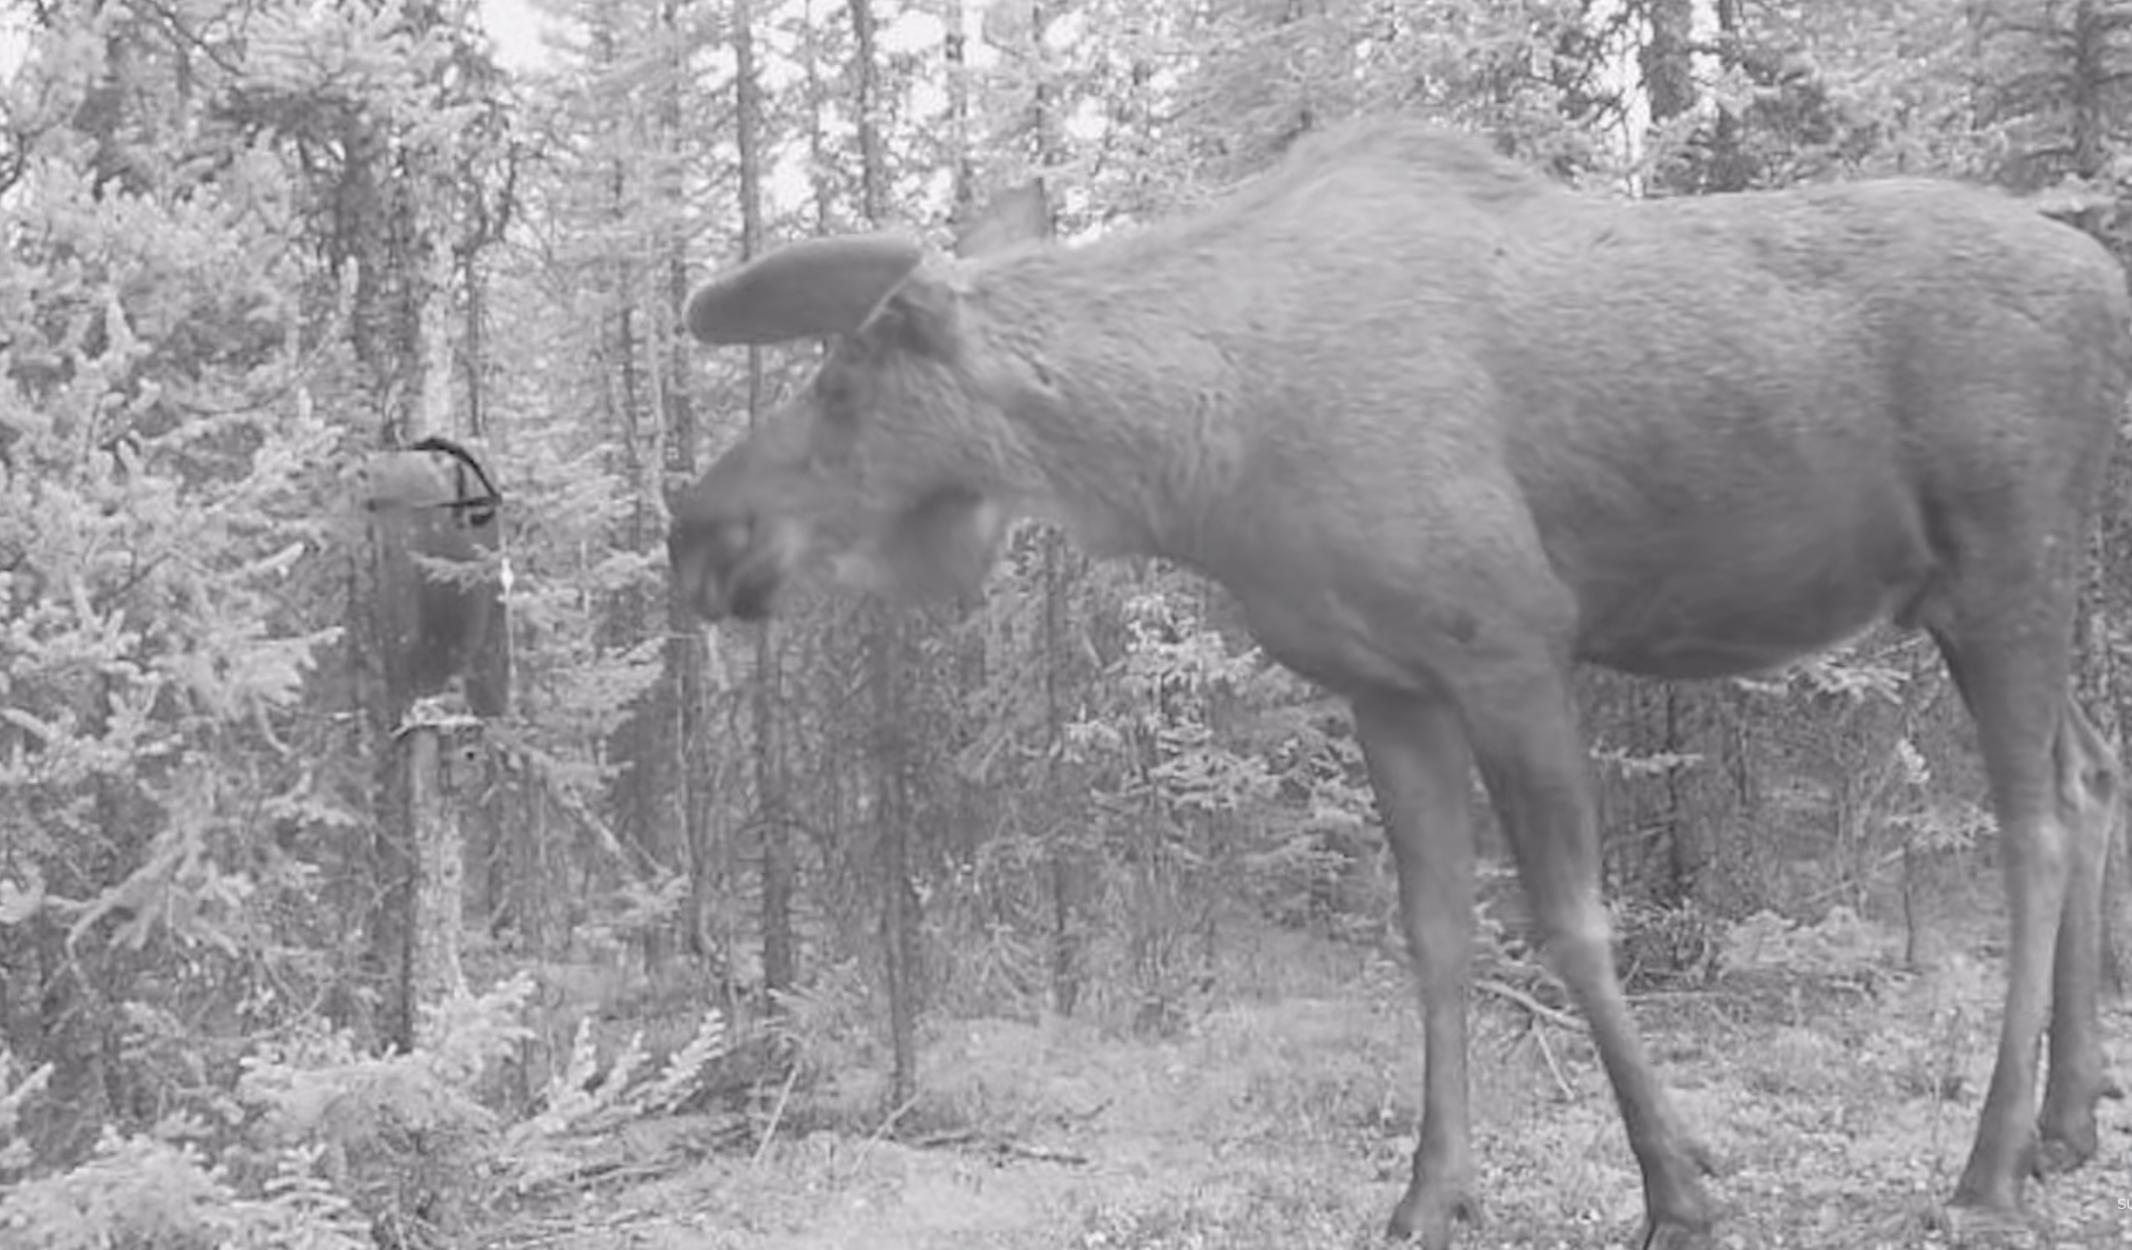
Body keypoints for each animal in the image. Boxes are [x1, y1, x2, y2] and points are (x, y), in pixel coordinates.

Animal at [667, 117, 2129, 1249]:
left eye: (841, 383)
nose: (696, 528)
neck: (1200, 454)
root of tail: (2105, 282)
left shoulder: (1509, 642)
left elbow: (1569, 925)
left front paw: (1676, 1181)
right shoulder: (1387, 684)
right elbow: (1432, 933)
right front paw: (1434, 1189)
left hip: (2002, 563)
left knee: (2033, 824)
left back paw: (1989, 1161)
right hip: (1997, 590)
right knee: (2091, 769)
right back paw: (2064, 1120)